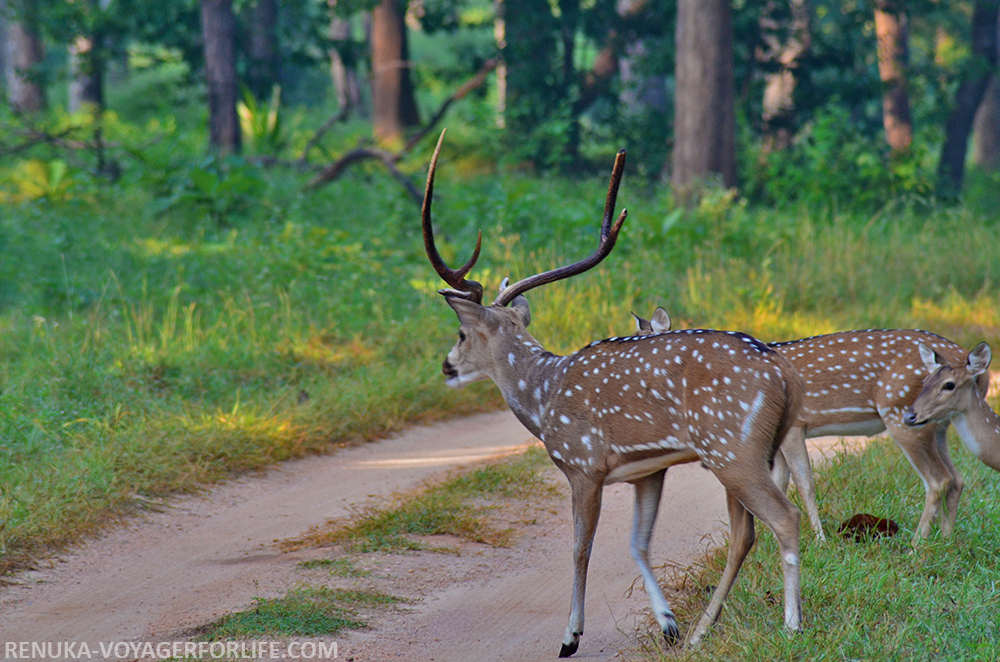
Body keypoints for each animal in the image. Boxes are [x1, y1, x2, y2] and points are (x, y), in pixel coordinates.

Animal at [420, 131, 804, 660]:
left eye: (461, 333)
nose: (446, 366)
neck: (543, 397)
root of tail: (782, 377)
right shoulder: (649, 469)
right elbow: (637, 542)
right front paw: (668, 624)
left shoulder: (583, 464)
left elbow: (581, 547)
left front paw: (570, 636)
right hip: (747, 453)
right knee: (745, 532)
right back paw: (703, 630)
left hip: (733, 449)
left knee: (783, 518)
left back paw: (791, 626)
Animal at [636, 308, 996, 544]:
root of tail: (978, 370)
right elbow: (780, 483)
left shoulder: (796, 425)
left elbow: (804, 482)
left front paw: (820, 540)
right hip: (939, 424)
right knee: (956, 477)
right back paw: (945, 539)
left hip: (901, 414)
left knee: (938, 479)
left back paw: (918, 544)